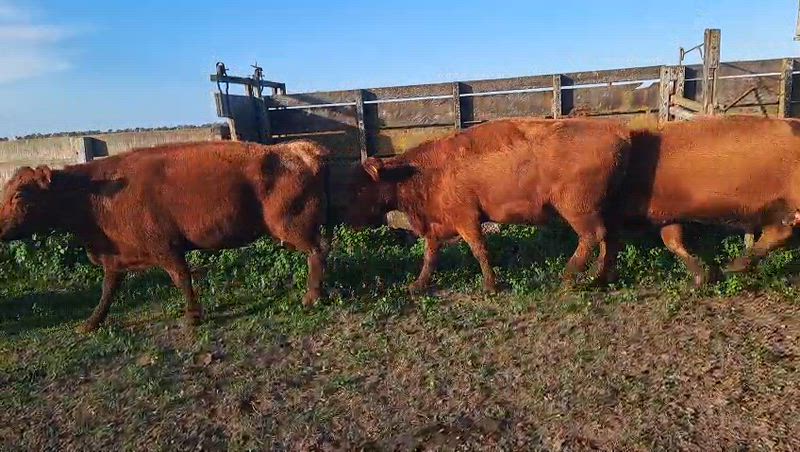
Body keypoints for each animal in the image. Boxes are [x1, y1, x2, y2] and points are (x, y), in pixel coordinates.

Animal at [0, 140, 330, 333]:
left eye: (20, 194)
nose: (0, 227)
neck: (95, 193)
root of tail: (297, 149)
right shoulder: (116, 258)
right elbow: (107, 291)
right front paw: (91, 322)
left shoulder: (167, 249)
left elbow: (181, 279)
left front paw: (193, 316)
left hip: (293, 227)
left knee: (318, 250)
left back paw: (312, 297)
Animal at [344, 118, 631, 294]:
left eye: (361, 188)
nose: (350, 220)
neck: (424, 171)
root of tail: (617, 131)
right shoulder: (437, 224)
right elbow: (430, 256)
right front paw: (417, 285)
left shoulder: (467, 219)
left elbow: (479, 250)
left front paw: (490, 285)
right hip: (603, 209)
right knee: (610, 238)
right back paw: (601, 277)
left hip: (577, 209)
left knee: (592, 236)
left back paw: (569, 276)